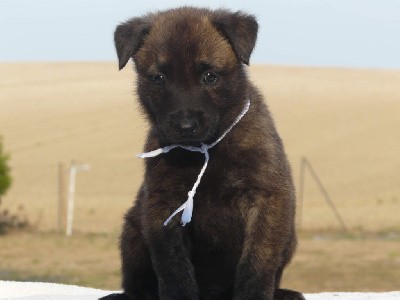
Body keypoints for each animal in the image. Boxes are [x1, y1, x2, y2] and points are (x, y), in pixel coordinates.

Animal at [101, 6, 304, 300]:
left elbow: (257, 262)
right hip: (133, 231)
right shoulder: (164, 207)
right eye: (158, 78)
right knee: (137, 283)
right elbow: (174, 268)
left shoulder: (266, 198)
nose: (185, 126)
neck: (204, 150)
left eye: (210, 76)